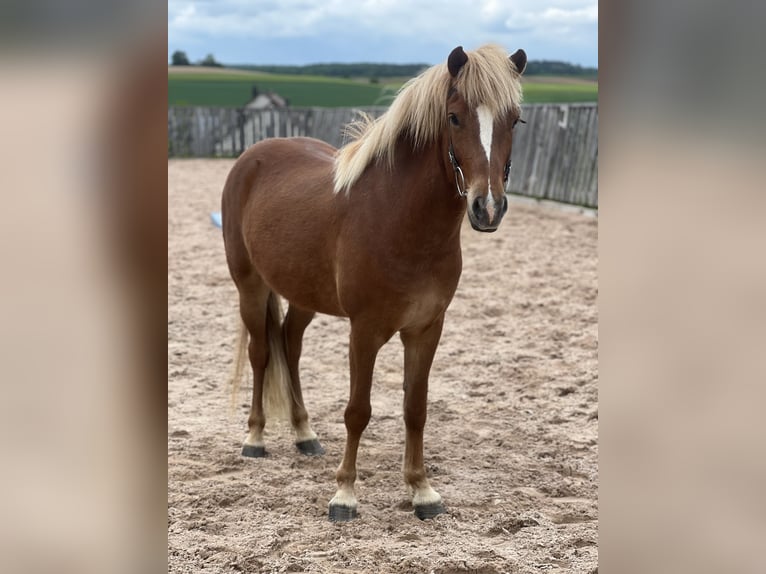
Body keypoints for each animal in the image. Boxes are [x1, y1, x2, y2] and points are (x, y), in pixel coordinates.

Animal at [221, 43, 527, 522]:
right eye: (454, 117)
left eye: (514, 120)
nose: (488, 207)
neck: (399, 218)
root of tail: (252, 157)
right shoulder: (363, 331)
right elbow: (357, 411)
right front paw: (344, 494)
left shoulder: (425, 329)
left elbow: (415, 408)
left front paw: (422, 490)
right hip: (250, 287)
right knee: (260, 354)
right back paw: (254, 439)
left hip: (304, 295)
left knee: (289, 344)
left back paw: (304, 434)